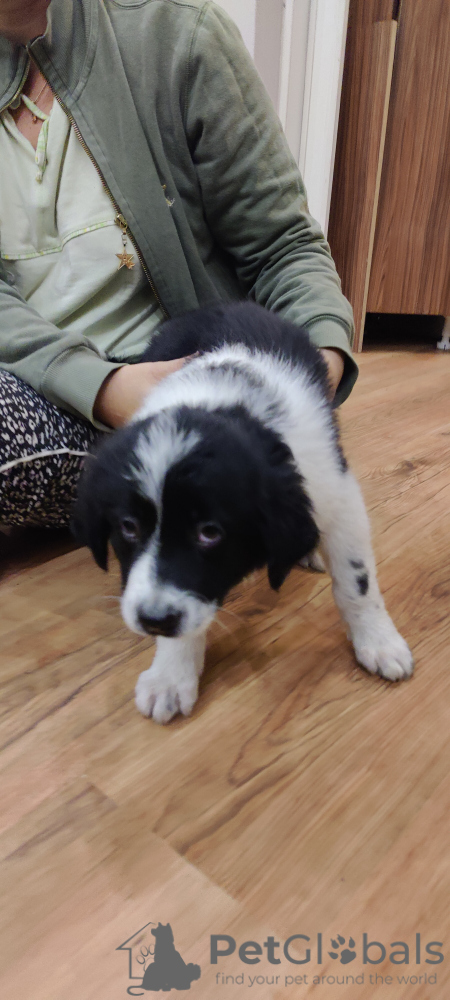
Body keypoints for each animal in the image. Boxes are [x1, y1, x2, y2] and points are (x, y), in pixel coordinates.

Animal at [72, 302, 413, 723]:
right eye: (129, 527)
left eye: (210, 532)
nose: (153, 620)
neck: (220, 401)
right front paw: (171, 674)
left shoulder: (335, 488)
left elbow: (356, 581)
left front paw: (379, 641)